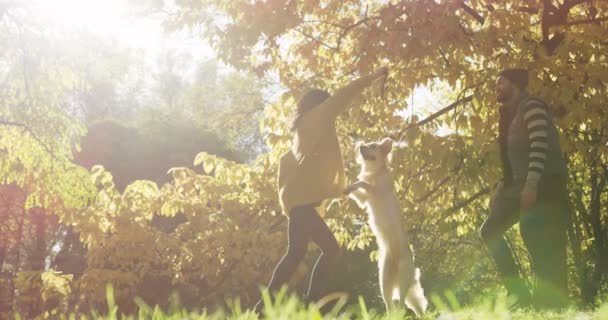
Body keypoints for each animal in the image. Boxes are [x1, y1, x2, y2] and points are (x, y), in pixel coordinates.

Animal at [344, 138, 430, 316]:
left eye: (372, 146)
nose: (360, 146)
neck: (375, 173)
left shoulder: (375, 191)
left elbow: (362, 183)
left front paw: (354, 183)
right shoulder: (364, 199)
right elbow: (357, 189)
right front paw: (346, 187)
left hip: (403, 281)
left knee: (402, 304)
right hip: (384, 281)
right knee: (391, 304)